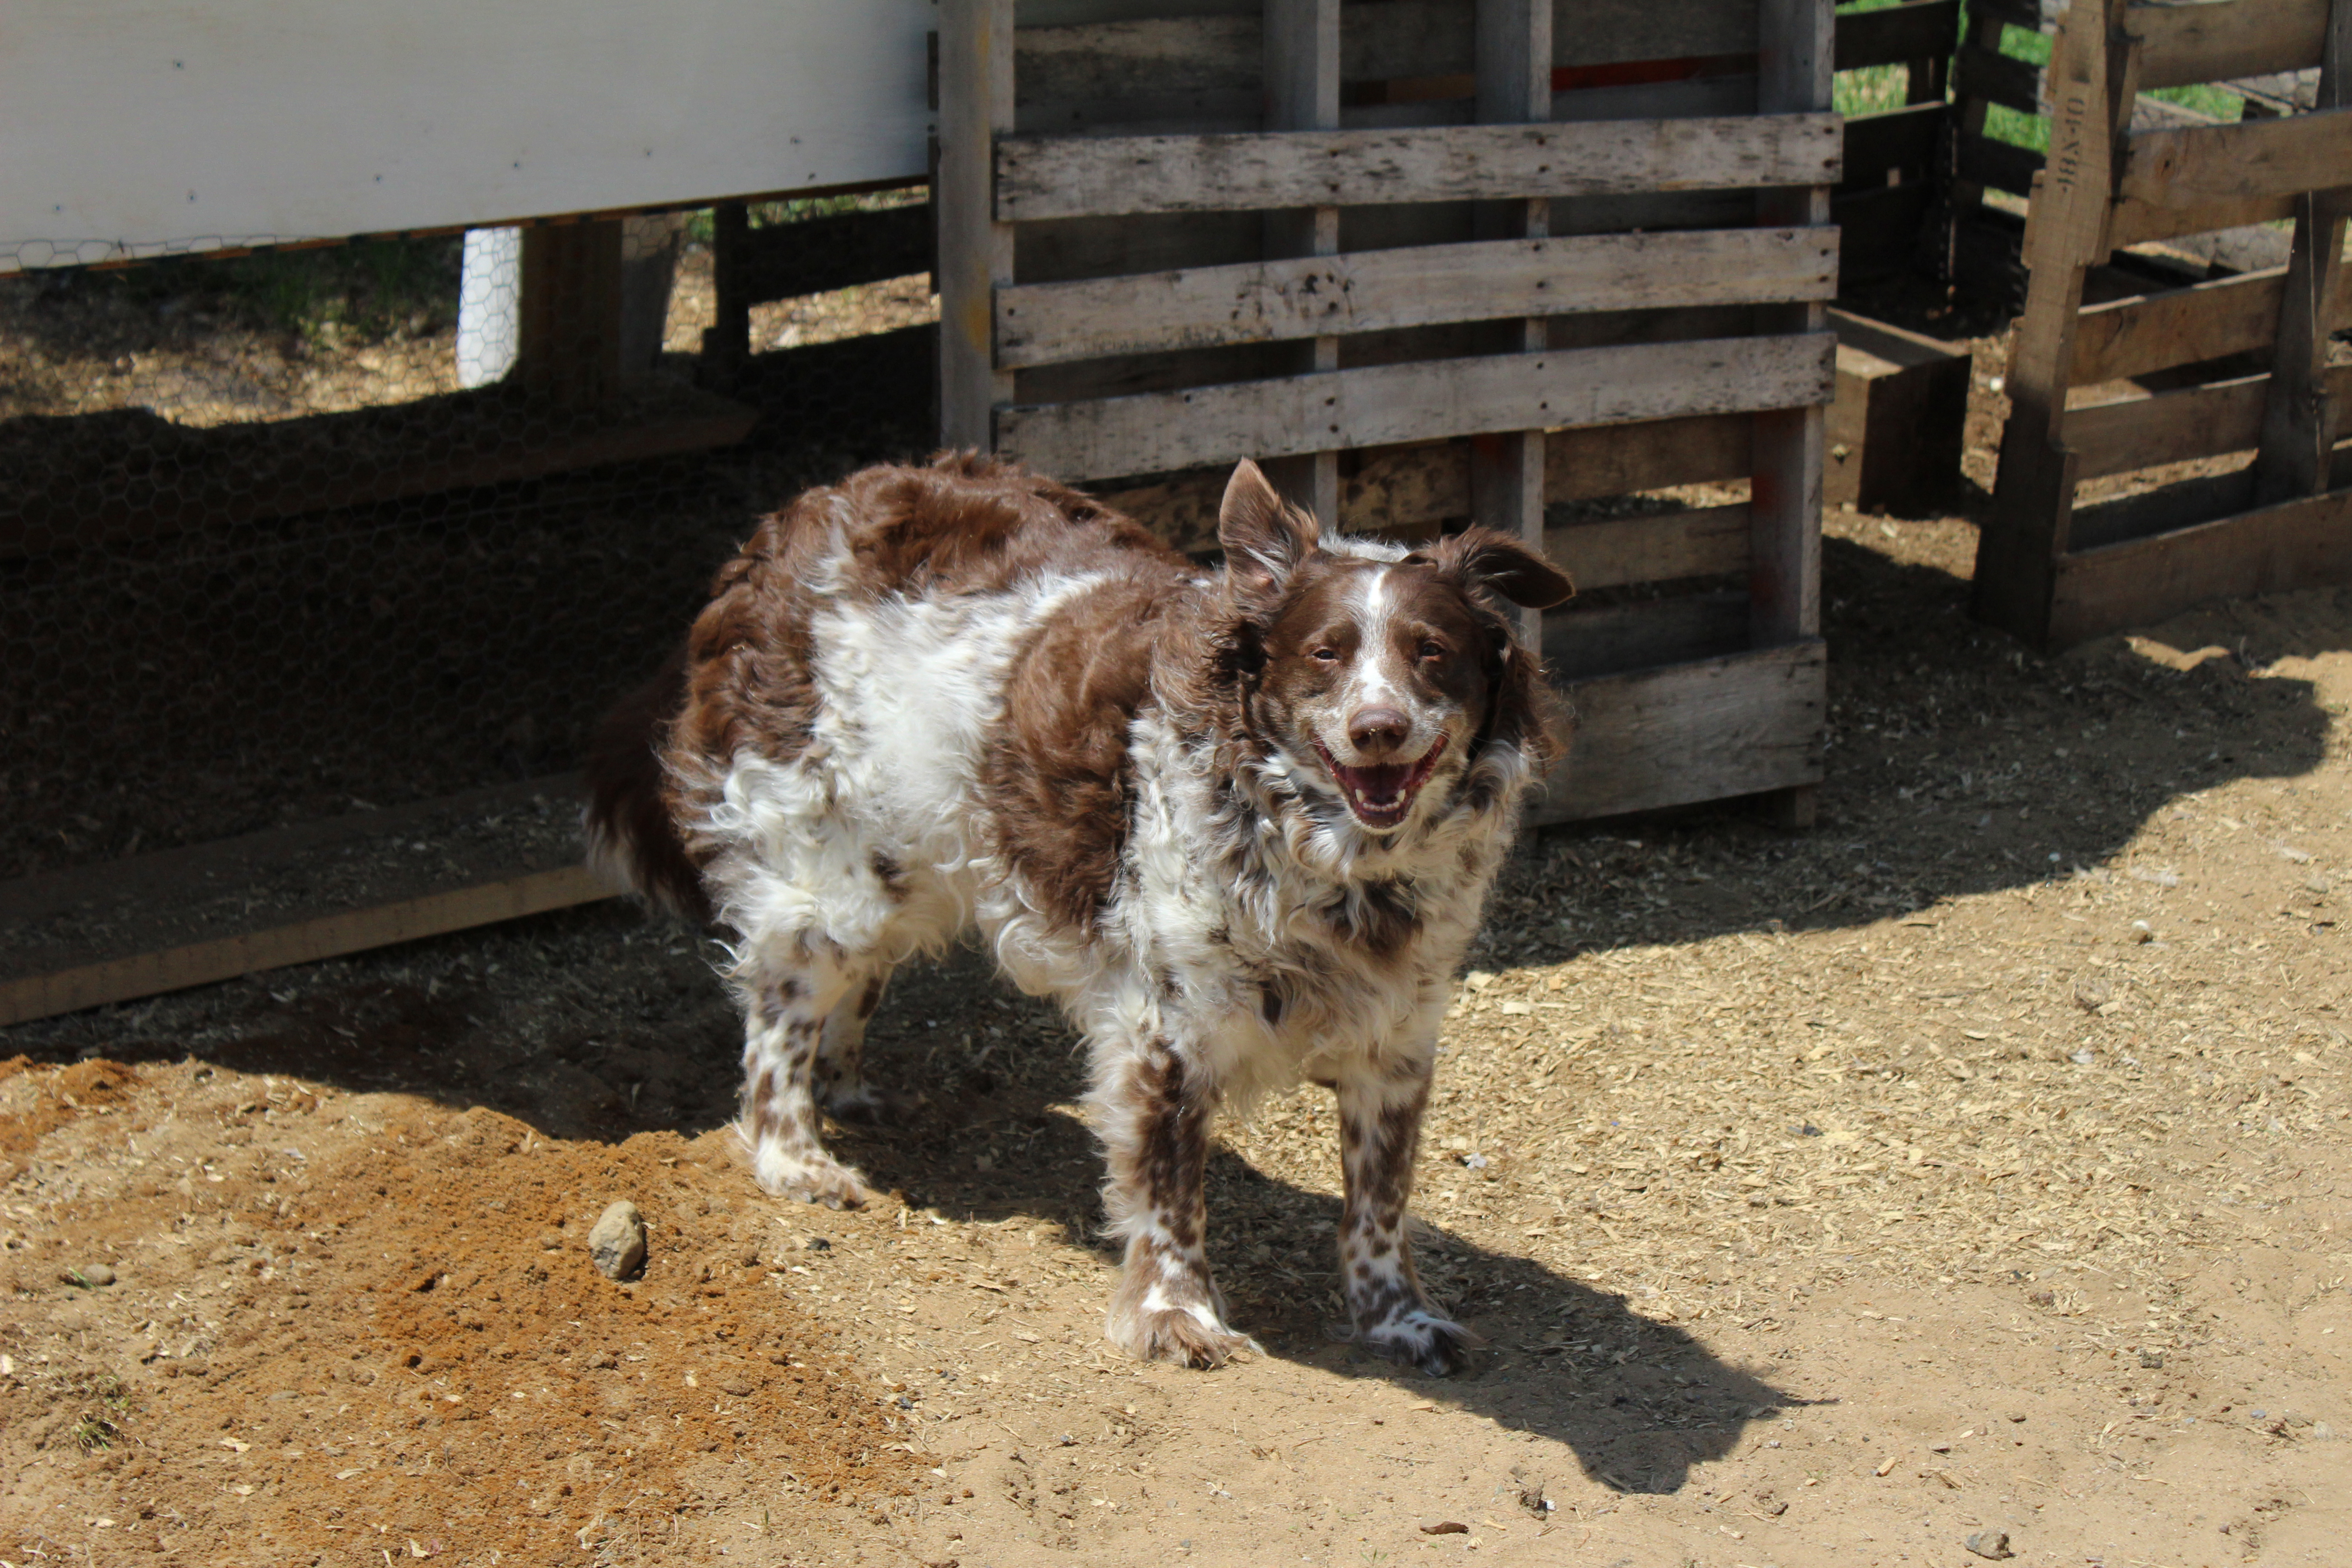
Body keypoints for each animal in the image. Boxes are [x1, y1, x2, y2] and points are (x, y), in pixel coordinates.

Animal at [585, 454, 1571, 1372]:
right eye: (1325, 652)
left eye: (1430, 652)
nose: (1378, 730)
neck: (1333, 858)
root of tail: (795, 520)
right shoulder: (1162, 1030)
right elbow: (1172, 1195)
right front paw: (1175, 1315)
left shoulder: (1397, 1036)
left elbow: (1380, 1202)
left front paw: (1396, 1318)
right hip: (824, 864)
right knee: (776, 1019)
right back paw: (793, 1155)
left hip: (904, 856)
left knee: (855, 980)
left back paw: (849, 1092)